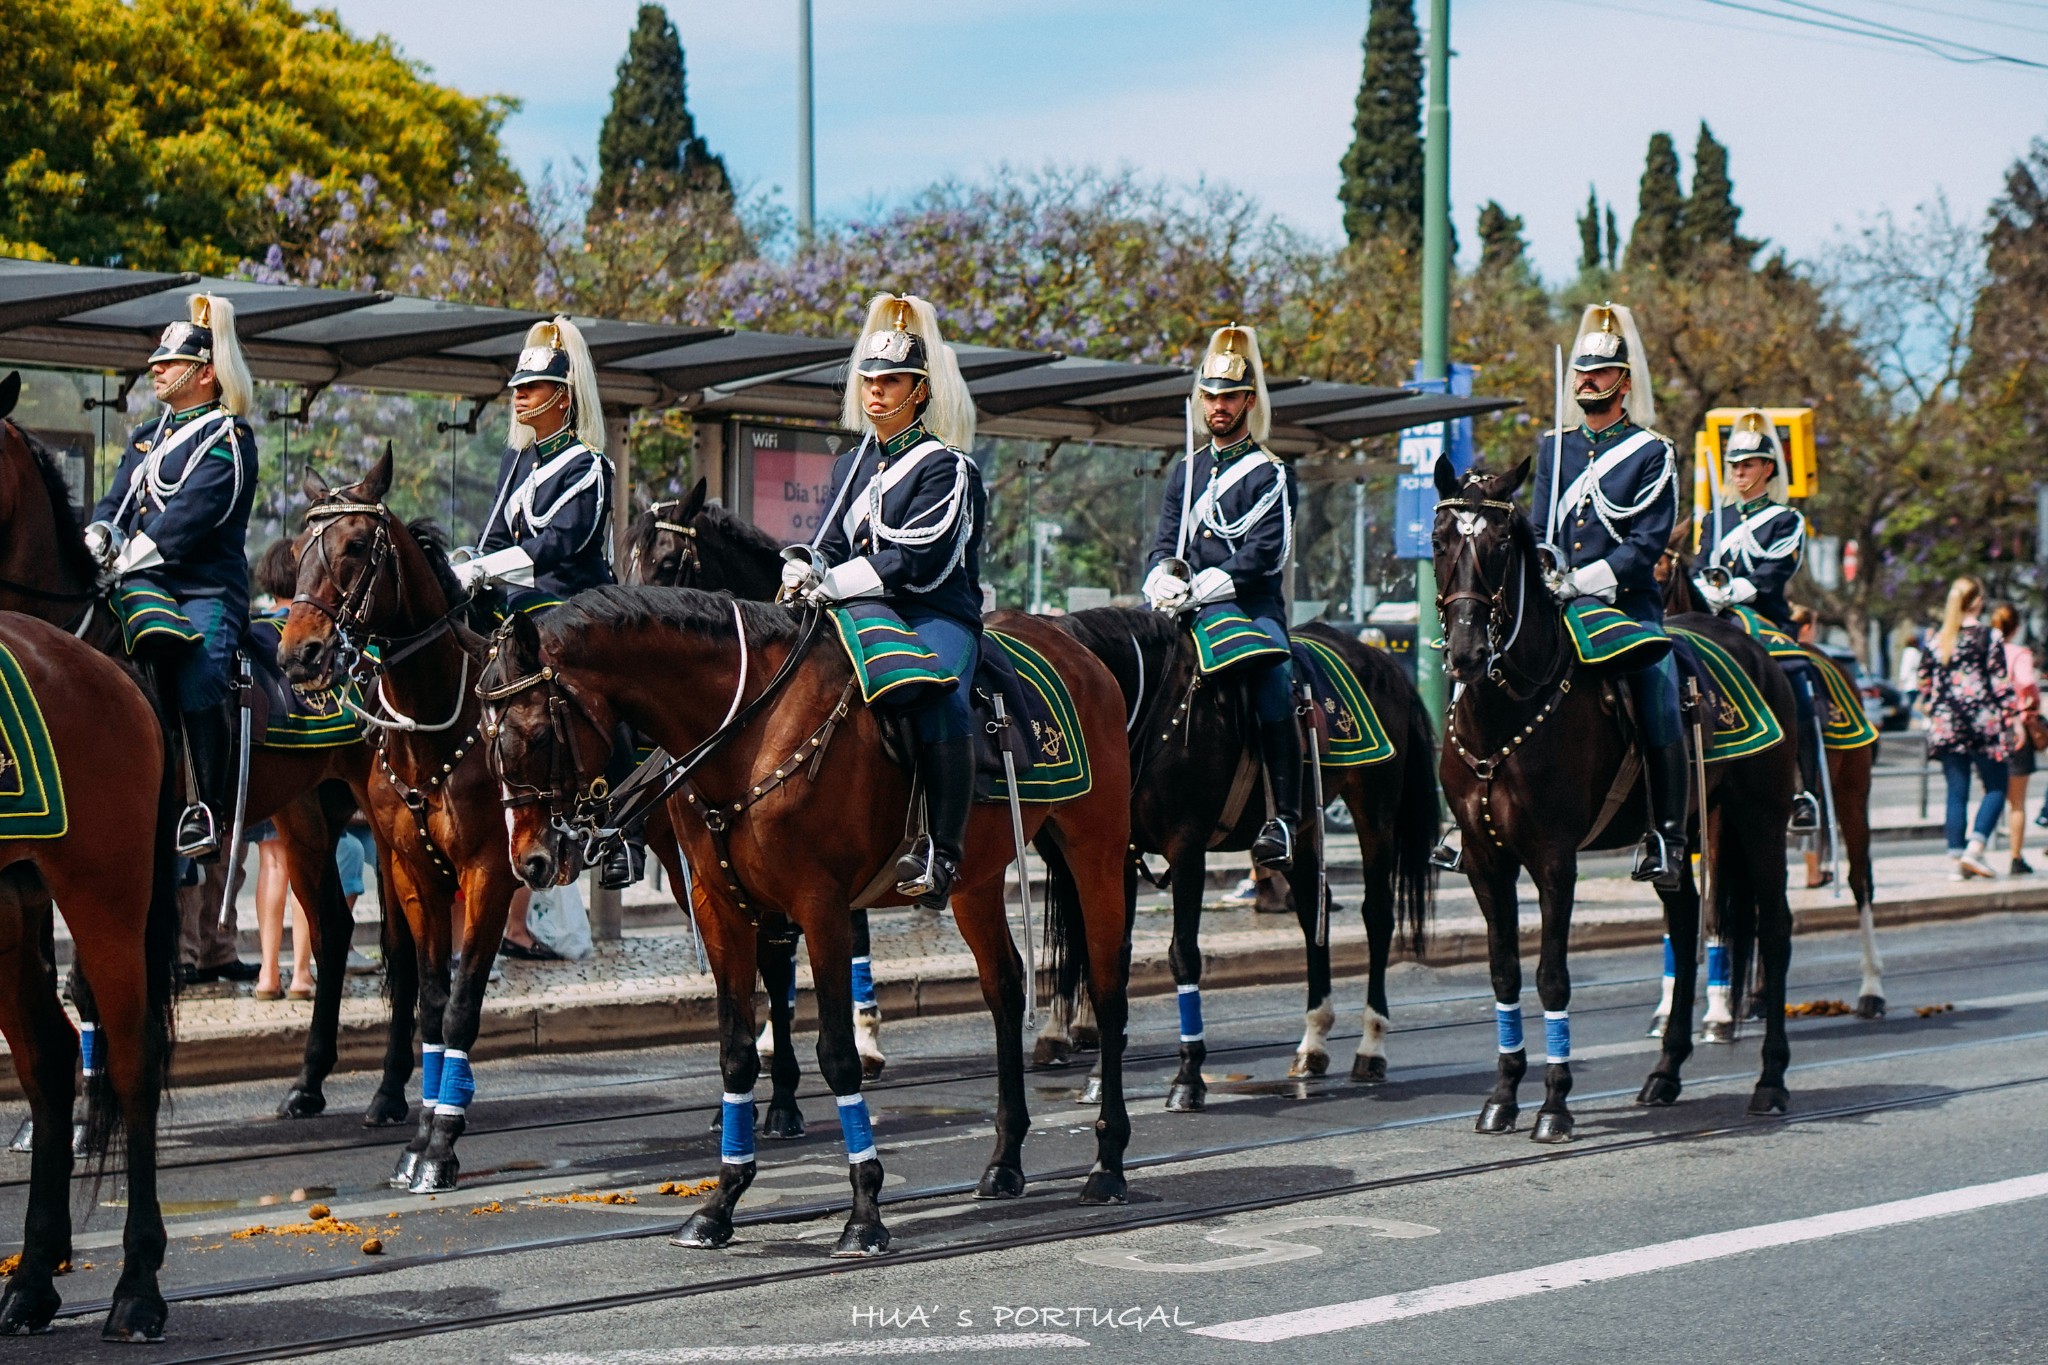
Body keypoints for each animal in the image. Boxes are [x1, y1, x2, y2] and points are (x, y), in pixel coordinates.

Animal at [0, 376, 415, 1129]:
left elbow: (95, 981)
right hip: (304, 815)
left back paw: (391, 1090)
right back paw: (309, 1081)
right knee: (334, 929)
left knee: (401, 941)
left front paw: (91, 1113)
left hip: (384, 814)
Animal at [1056, 609, 1441, 1113]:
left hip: (1375, 811)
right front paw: (1102, 1073)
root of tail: (1385, 662)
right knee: (1312, 912)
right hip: (1306, 826)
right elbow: (1113, 958)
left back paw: (1371, 1046)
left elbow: (1183, 955)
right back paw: (1313, 1044)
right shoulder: (1121, 854)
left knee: (1377, 916)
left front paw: (1188, 1078)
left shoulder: (1187, 849)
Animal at [1425, 464, 1794, 1137]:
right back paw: (1666, 1072)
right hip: (1685, 834)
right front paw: (1503, 1095)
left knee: (1775, 931)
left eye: (1500, 544)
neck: (1506, 714)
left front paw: (1554, 1105)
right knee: (1685, 919)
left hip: (1760, 820)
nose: (1467, 654)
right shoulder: (1486, 862)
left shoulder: (1554, 859)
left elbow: (1551, 977)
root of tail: (1754, 649)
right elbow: (1503, 971)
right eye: (1438, 541)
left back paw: (1770, 1082)